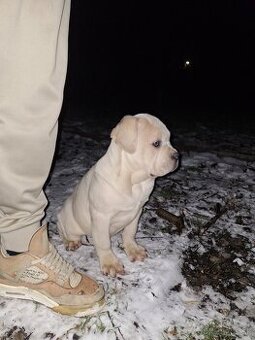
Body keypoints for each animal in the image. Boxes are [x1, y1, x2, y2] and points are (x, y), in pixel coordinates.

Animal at [57, 114, 178, 276]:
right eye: (156, 143)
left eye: (170, 140)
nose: (177, 156)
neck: (133, 182)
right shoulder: (101, 216)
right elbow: (103, 243)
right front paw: (110, 263)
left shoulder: (137, 211)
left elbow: (130, 233)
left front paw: (133, 249)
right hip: (67, 218)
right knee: (63, 230)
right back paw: (71, 241)